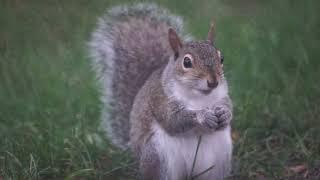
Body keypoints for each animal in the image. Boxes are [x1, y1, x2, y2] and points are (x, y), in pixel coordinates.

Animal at [89, 2, 234, 180]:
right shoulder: (160, 99)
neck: (199, 96)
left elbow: (228, 106)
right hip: (158, 157)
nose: (213, 82)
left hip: (219, 160)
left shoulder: (222, 95)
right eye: (187, 62)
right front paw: (203, 115)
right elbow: (174, 120)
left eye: (221, 58)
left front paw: (225, 114)